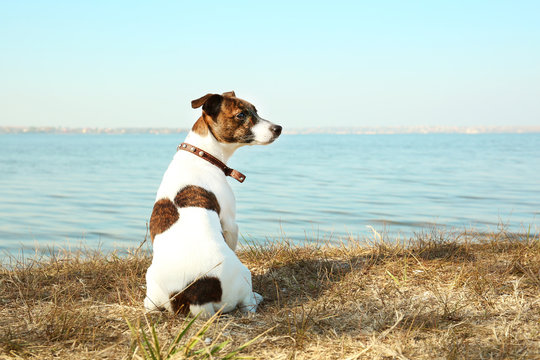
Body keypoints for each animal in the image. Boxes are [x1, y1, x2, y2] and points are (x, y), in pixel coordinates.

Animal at [143, 91, 282, 316]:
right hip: (244, 274)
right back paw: (257, 297)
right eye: (241, 115)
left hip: (151, 286)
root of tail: (197, 298)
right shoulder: (230, 223)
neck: (201, 154)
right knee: (248, 305)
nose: (279, 128)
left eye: (256, 111)